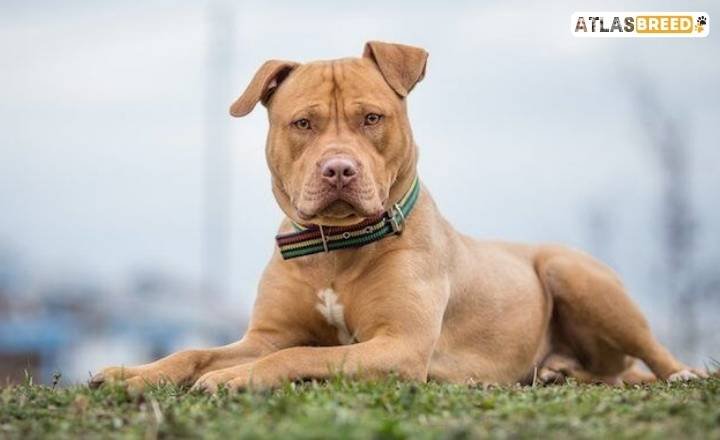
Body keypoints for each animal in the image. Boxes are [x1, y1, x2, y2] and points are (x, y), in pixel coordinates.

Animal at [90, 41, 704, 392]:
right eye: (303, 124)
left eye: (371, 118)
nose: (339, 169)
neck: (335, 248)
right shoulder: (265, 333)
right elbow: (199, 350)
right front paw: (130, 374)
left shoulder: (399, 344)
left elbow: (297, 354)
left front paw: (235, 377)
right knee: (610, 371)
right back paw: (559, 371)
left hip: (570, 270)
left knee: (652, 354)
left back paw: (683, 374)